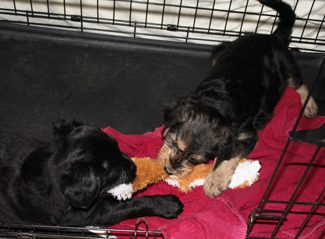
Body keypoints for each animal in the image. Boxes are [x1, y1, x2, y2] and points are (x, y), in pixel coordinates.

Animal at [0, 120, 182, 227]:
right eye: (111, 169)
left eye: (117, 147)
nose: (134, 167)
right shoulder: (87, 216)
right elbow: (130, 205)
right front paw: (167, 204)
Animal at [157, 0, 316, 197]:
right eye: (173, 142)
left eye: (194, 160)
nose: (168, 170)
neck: (217, 103)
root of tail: (273, 37)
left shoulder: (246, 136)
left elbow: (228, 156)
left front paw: (215, 181)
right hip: (221, 50)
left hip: (285, 65)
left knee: (299, 83)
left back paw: (309, 106)